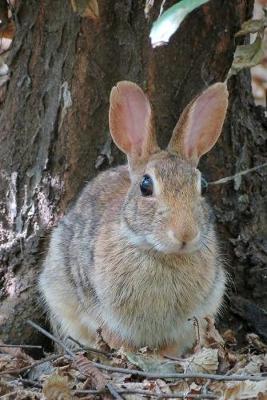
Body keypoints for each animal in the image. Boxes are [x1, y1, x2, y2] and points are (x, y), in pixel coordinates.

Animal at [38, 79, 229, 354]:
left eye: (202, 186)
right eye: (145, 186)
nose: (185, 234)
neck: (160, 253)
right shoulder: (100, 309)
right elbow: (115, 338)